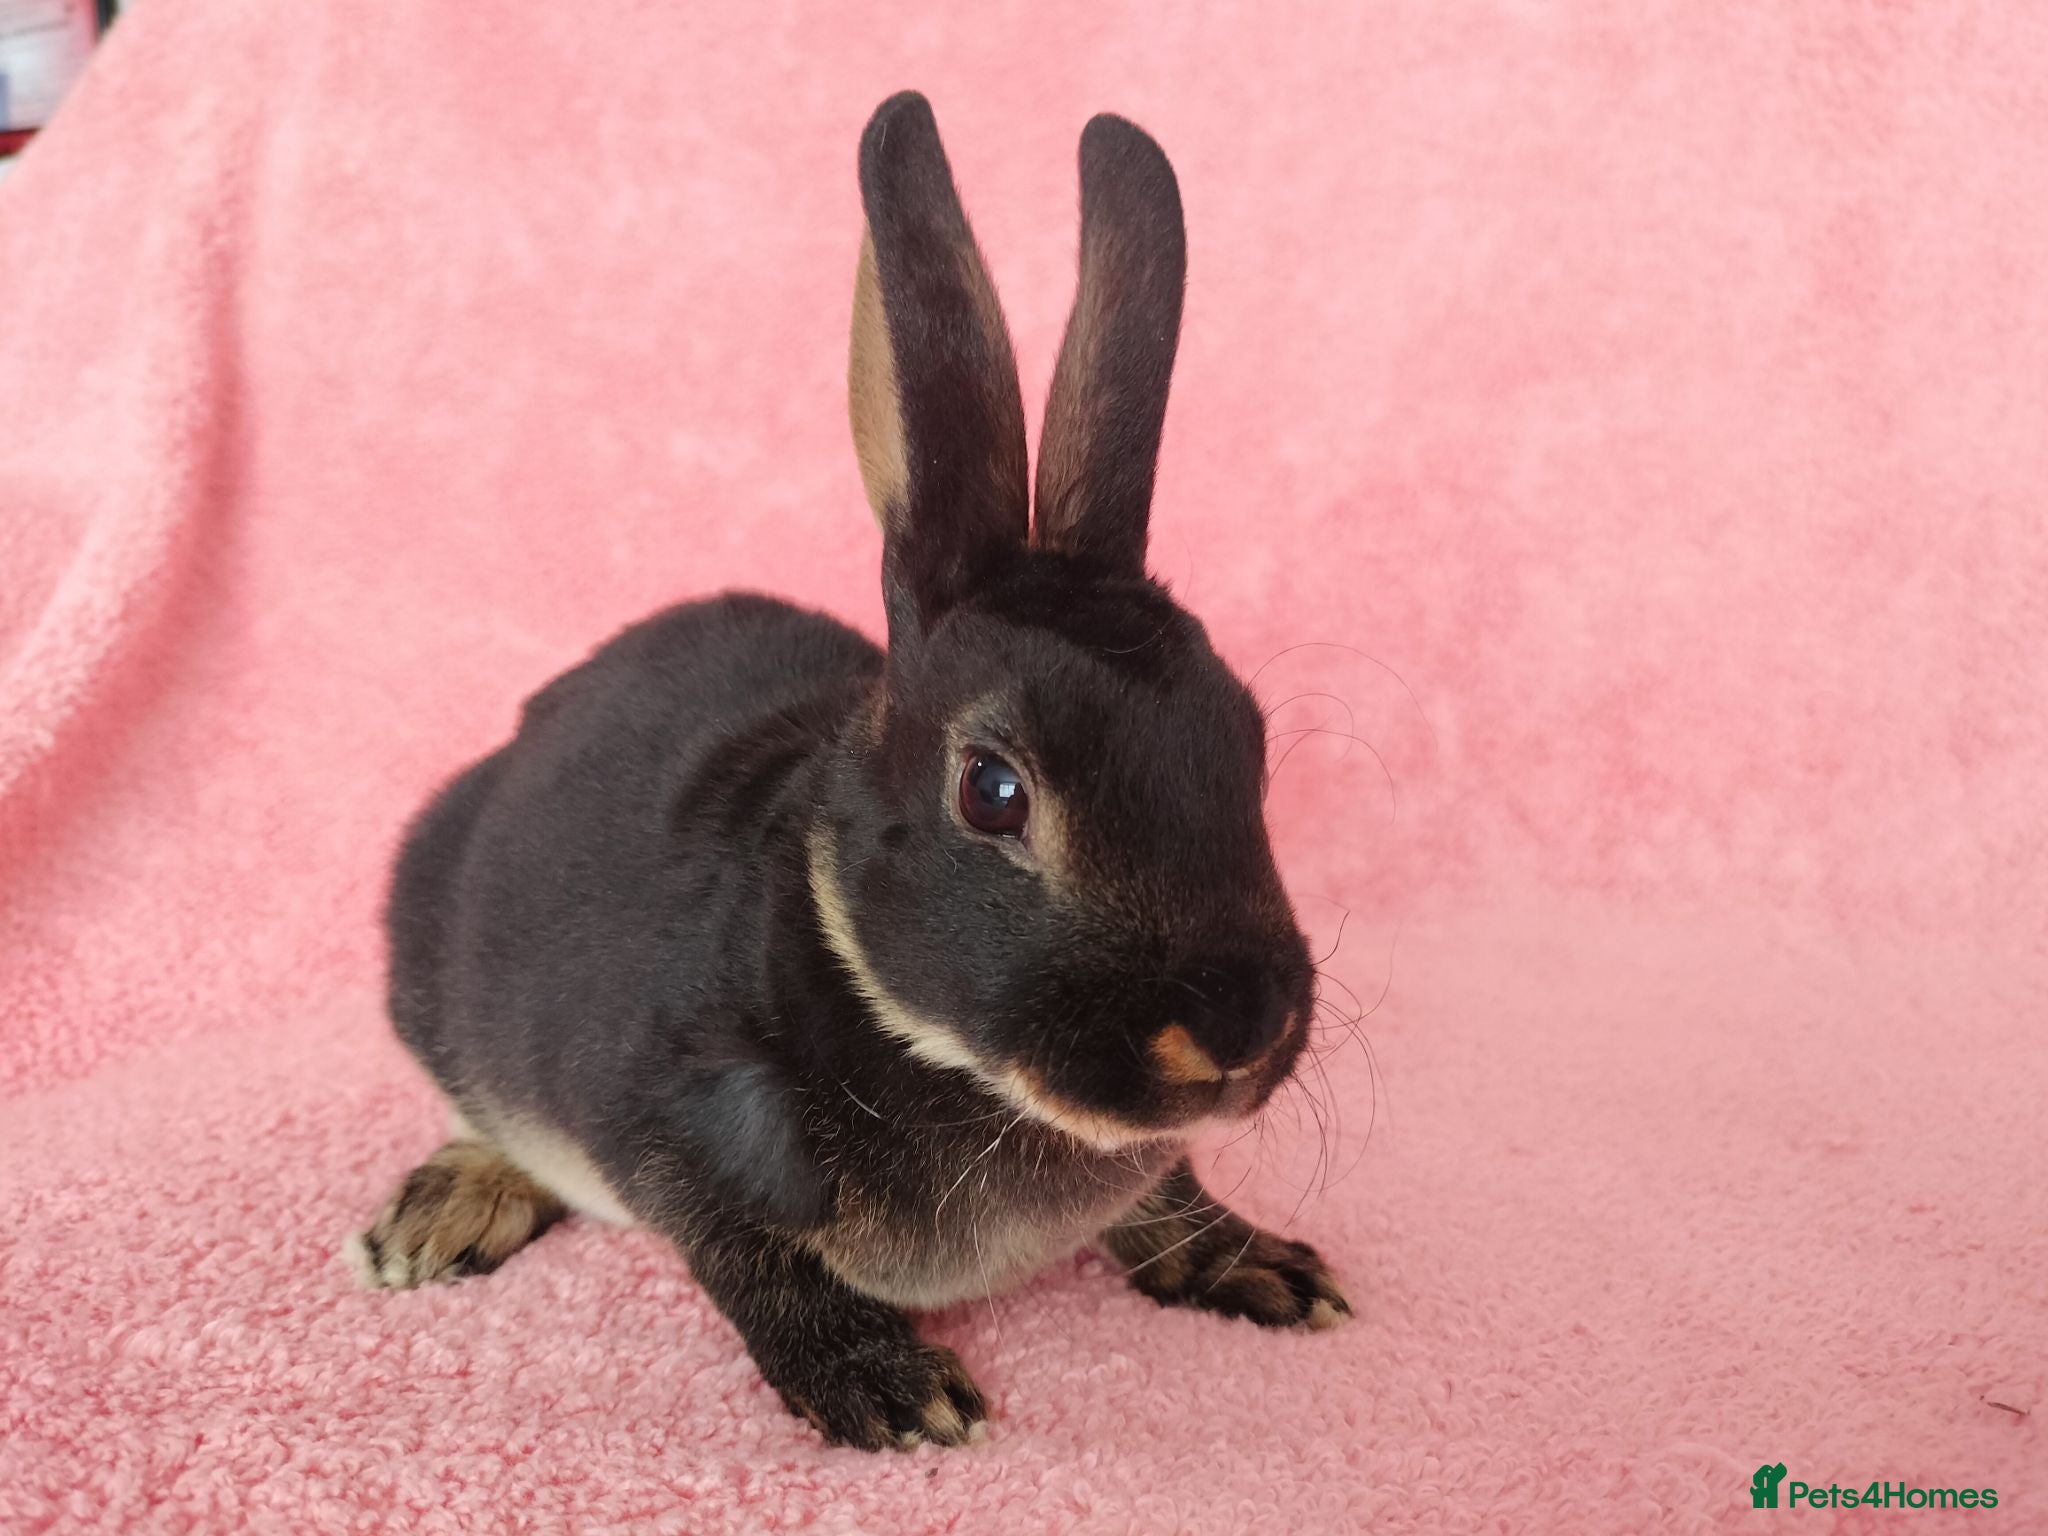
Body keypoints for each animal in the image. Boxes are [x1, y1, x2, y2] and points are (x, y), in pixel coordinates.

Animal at [346, 90, 1350, 1451]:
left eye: (1242, 738)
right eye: (992, 788)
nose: (1236, 1029)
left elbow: (1164, 1195)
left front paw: (1260, 1265)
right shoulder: (672, 1130)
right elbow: (748, 1263)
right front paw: (888, 1388)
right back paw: (435, 1219)